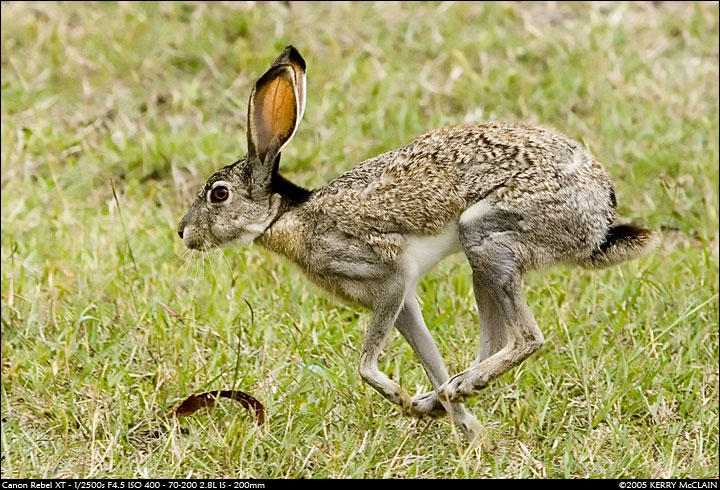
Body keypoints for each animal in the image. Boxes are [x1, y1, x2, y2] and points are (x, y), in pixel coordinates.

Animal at [177, 46, 660, 441]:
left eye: (218, 194)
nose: (183, 233)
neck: (286, 215)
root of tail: (600, 217)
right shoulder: (402, 301)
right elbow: (429, 354)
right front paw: (459, 426)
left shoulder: (388, 275)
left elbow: (365, 364)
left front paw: (403, 398)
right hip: (485, 259)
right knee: (494, 341)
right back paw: (450, 393)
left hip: (483, 235)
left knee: (528, 338)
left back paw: (463, 385)